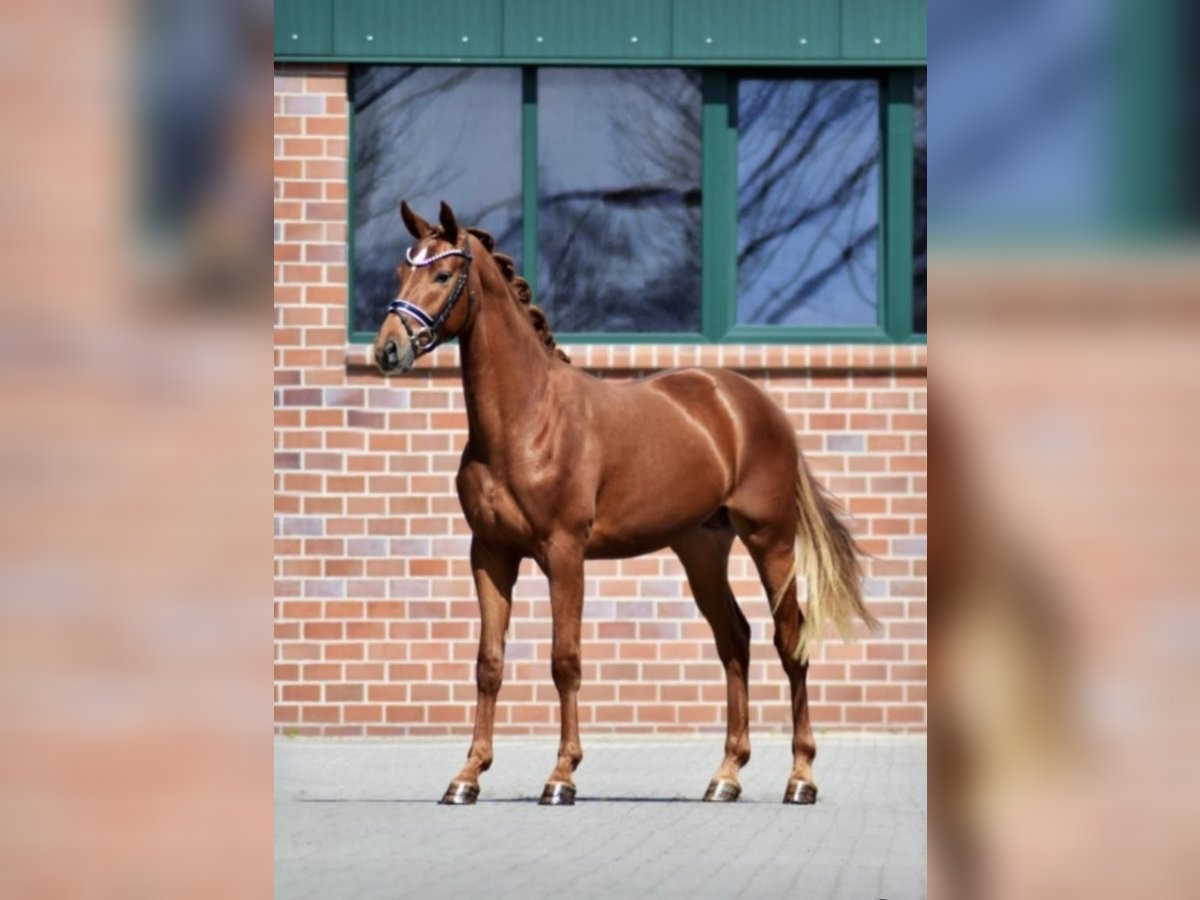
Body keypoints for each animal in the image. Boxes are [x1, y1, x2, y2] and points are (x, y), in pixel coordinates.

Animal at [369, 204, 878, 811]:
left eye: (443, 275)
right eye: (401, 273)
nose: (387, 350)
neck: (527, 420)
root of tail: (753, 404)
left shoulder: (565, 553)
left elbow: (565, 660)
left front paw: (561, 777)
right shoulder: (490, 554)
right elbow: (488, 663)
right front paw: (467, 776)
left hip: (770, 541)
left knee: (788, 639)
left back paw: (800, 779)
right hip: (701, 548)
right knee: (734, 639)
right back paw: (725, 776)